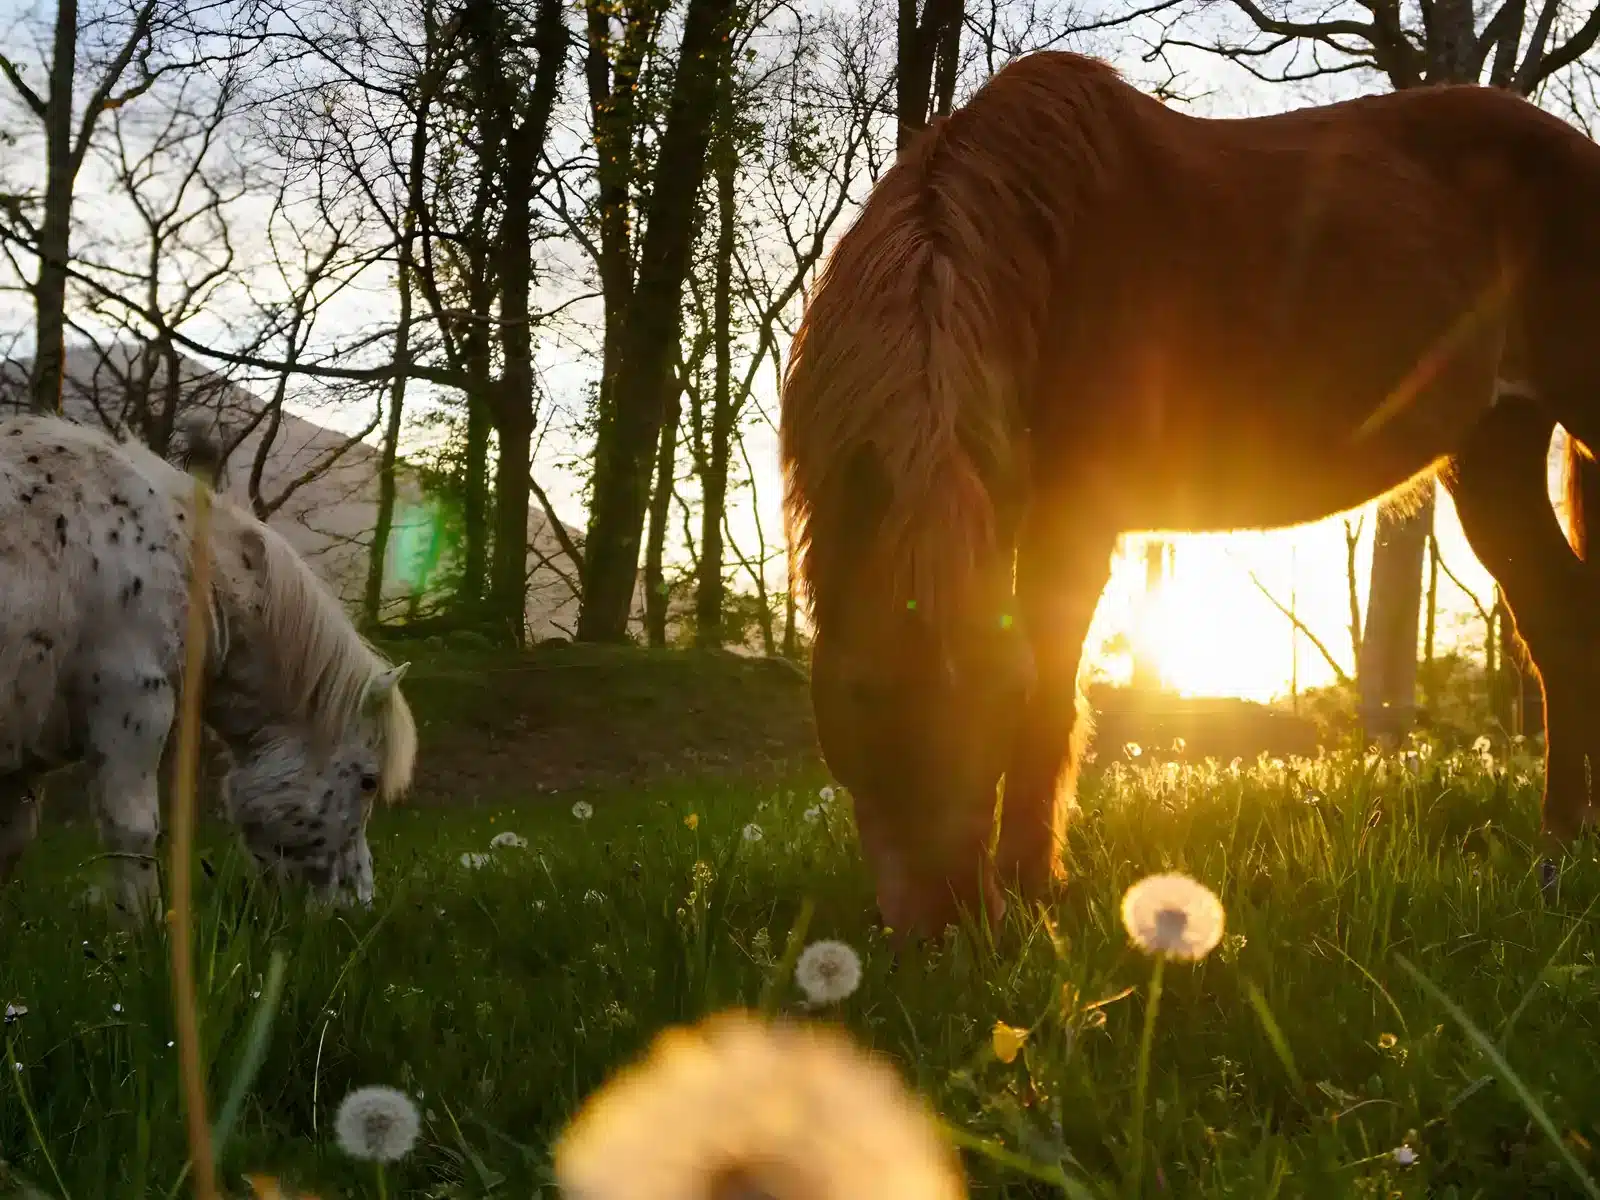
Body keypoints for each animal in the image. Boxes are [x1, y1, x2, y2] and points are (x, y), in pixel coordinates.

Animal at [0, 416, 419, 921]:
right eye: (368, 782)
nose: (358, 906)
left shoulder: (21, 756)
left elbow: (11, 841)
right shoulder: (132, 706)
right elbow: (132, 830)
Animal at [780, 49, 1600, 940]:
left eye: (1006, 688)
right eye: (862, 689)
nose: (955, 924)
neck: (1052, 248)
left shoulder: (1077, 523)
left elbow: (1057, 704)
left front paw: (1035, 887)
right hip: (1494, 450)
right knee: (1562, 626)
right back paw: (1560, 857)